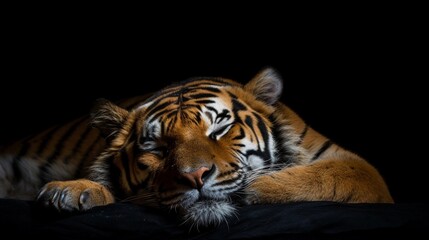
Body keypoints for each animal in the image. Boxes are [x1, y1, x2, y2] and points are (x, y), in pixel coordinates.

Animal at [0, 67, 392, 227]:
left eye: (219, 129)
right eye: (156, 148)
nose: (196, 176)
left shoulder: (361, 170)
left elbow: (339, 174)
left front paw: (260, 186)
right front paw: (69, 191)